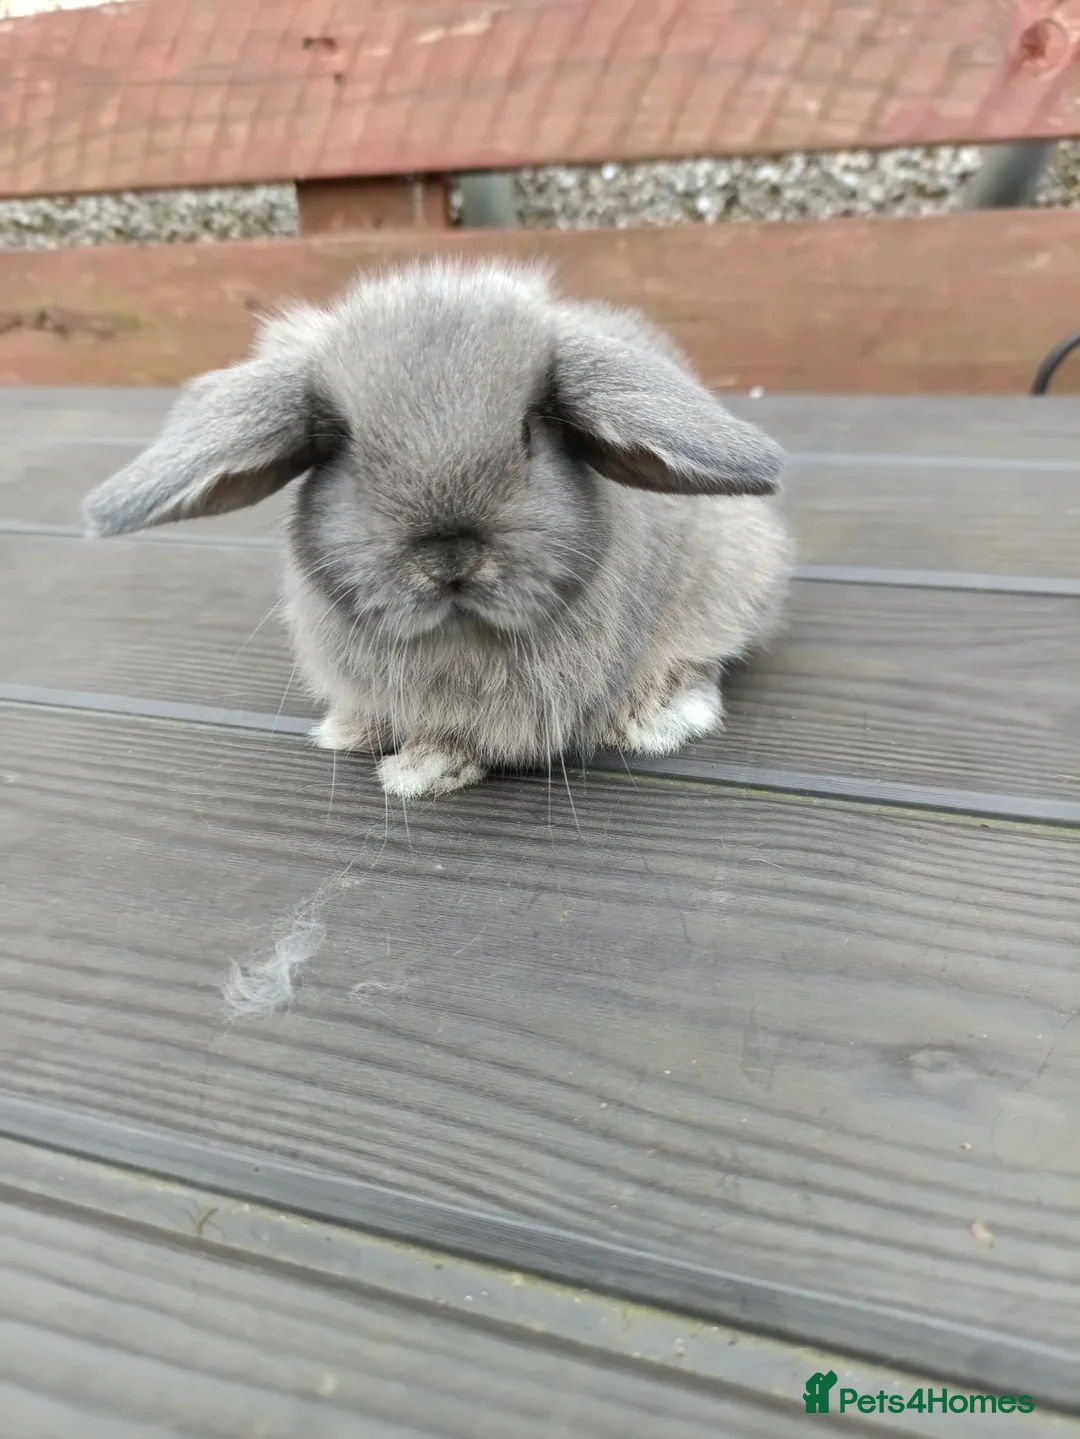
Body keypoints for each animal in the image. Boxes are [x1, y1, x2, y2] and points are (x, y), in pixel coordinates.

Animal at [82, 259, 793, 798]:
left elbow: (460, 741)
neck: (455, 637)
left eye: (530, 432)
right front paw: (350, 731)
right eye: (342, 447)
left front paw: (420, 770)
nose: (449, 559)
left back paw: (659, 714)